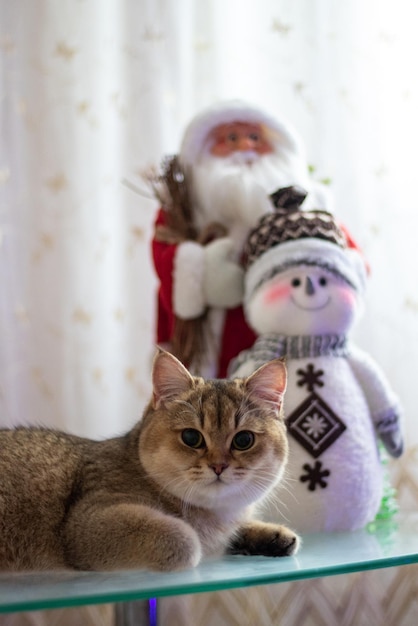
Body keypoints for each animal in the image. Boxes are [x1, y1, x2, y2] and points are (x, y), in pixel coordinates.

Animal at [0, 348, 298, 568]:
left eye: (243, 440)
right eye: (191, 437)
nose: (218, 466)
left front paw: (270, 536)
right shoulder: (86, 521)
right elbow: (186, 539)